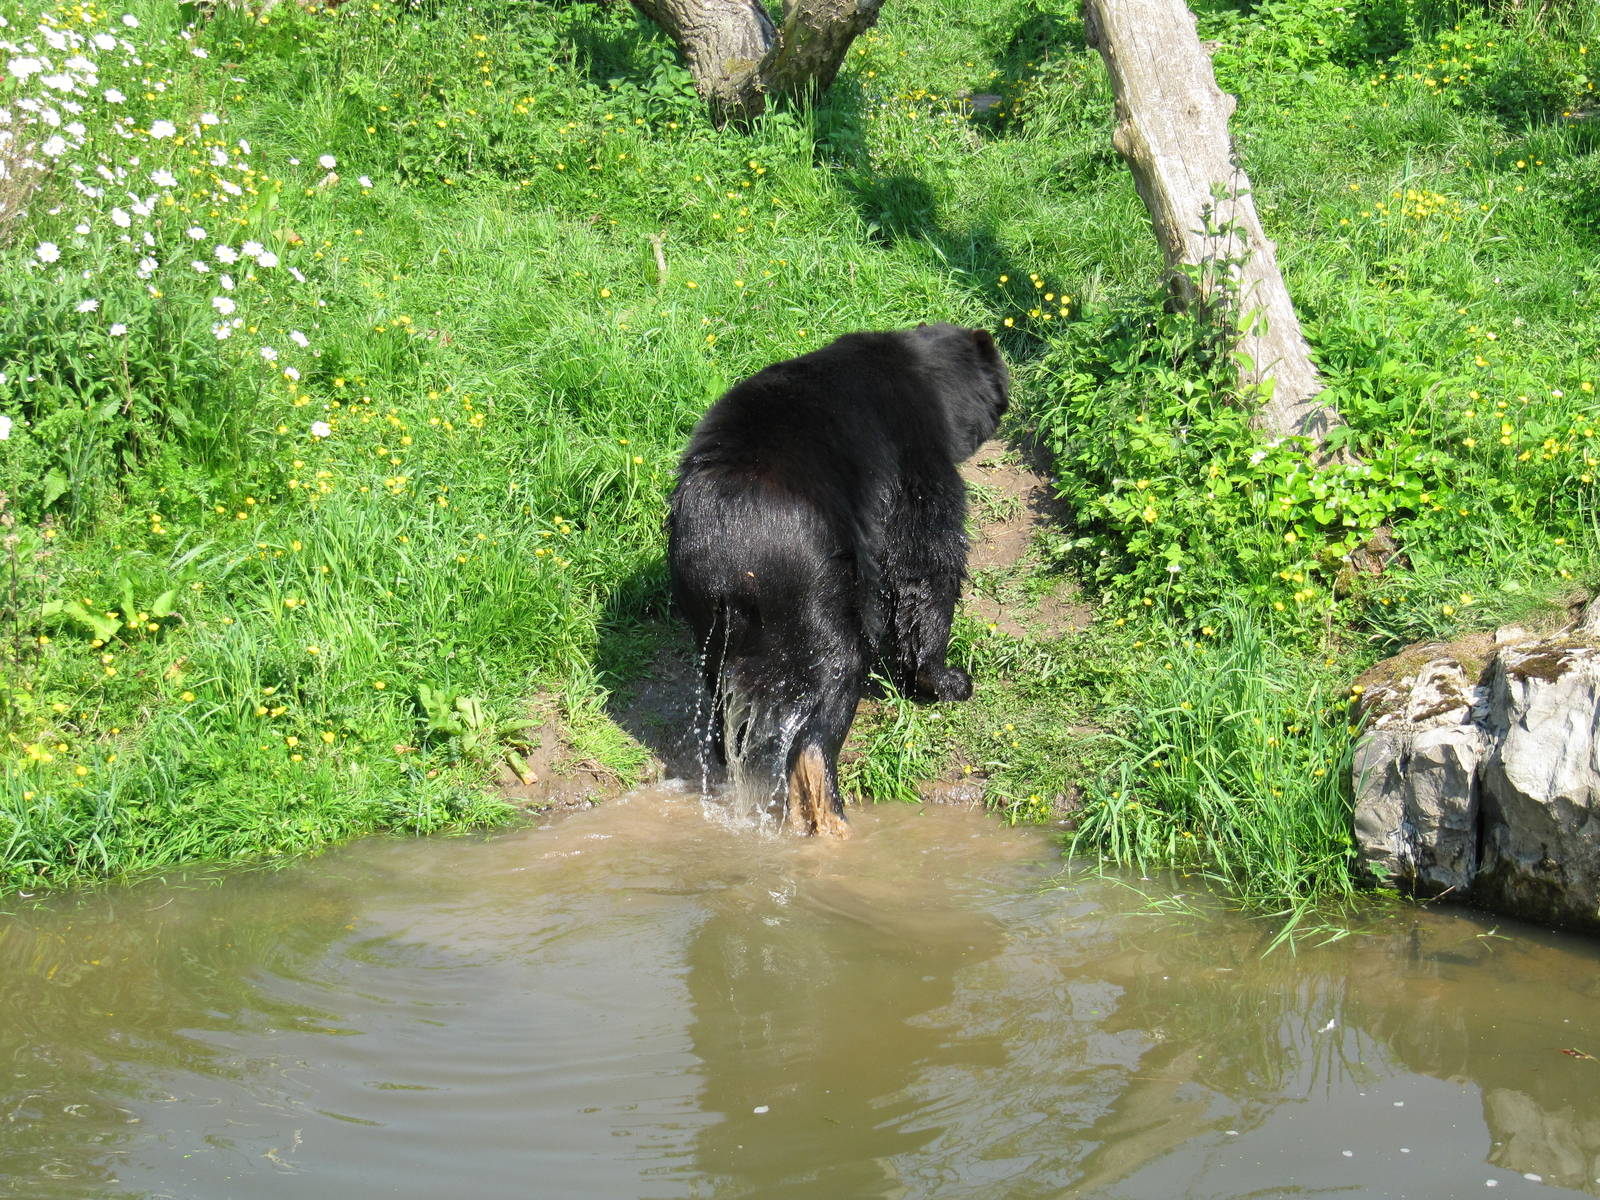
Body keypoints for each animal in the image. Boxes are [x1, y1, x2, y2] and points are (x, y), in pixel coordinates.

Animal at [667, 323, 1010, 836]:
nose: (1008, 401)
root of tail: (729, 561)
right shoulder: (909, 450)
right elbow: (924, 554)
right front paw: (947, 679)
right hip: (811, 583)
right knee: (834, 672)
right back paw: (826, 803)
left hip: (704, 613)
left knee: (725, 695)